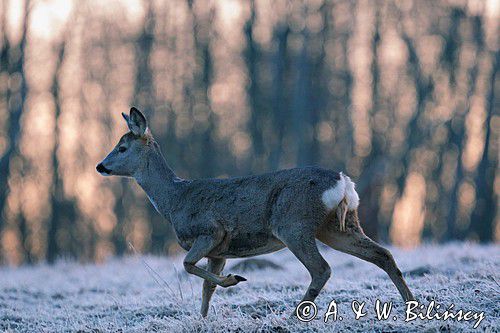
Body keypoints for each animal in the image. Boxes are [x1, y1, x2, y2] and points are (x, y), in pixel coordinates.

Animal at [96, 107, 414, 316]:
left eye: (122, 147)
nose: (100, 166)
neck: (175, 201)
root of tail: (344, 182)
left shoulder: (210, 231)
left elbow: (187, 266)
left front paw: (234, 280)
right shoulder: (219, 252)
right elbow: (205, 289)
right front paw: (203, 319)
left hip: (293, 224)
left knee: (322, 268)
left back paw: (294, 315)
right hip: (339, 226)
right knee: (382, 254)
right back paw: (411, 304)